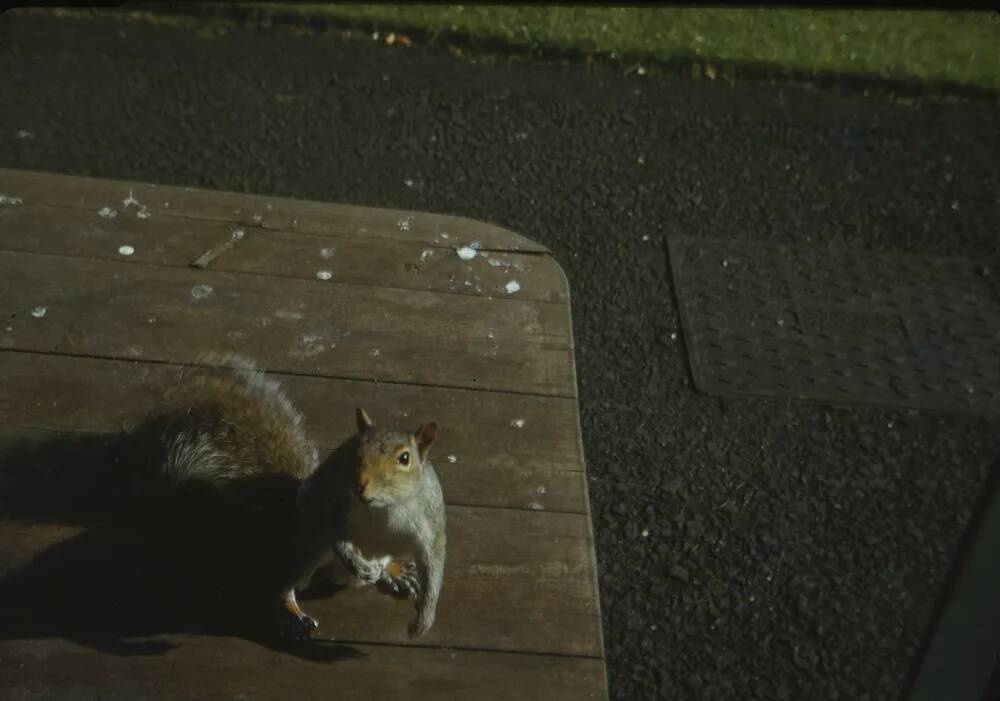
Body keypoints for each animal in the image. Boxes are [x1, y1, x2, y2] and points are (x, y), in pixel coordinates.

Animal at [128, 356, 446, 640]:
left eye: (404, 458)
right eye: (353, 450)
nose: (360, 484)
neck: (385, 508)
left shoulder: (431, 524)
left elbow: (433, 565)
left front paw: (424, 618)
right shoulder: (331, 502)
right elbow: (336, 532)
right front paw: (355, 559)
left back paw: (393, 572)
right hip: (309, 545)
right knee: (284, 582)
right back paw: (292, 612)